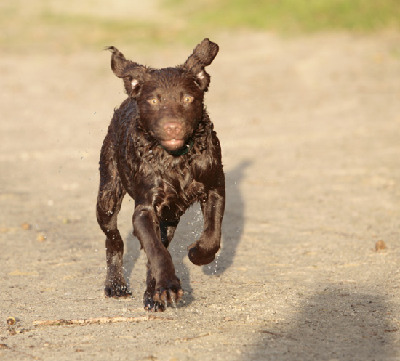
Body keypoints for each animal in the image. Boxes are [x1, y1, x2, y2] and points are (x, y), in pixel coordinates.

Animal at [95, 38, 223, 310]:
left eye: (188, 98)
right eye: (154, 101)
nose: (172, 127)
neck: (175, 159)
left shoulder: (214, 187)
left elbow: (212, 234)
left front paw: (197, 254)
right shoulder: (145, 209)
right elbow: (156, 250)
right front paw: (168, 286)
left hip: (170, 218)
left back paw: (150, 294)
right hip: (108, 194)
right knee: (114, 239)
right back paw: (116, 284)